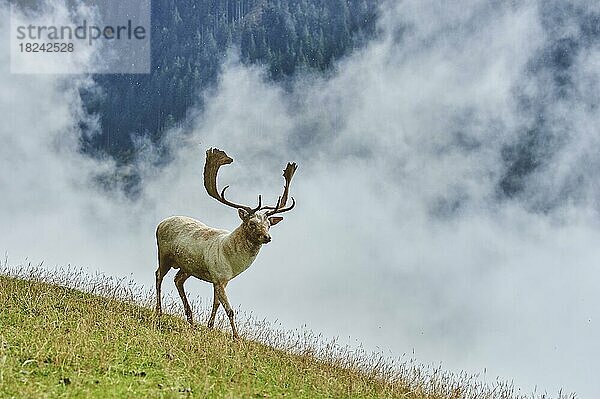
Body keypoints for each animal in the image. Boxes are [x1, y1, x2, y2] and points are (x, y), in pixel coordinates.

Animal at [154, 148, 296, 340]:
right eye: (252, 223)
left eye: (268, 224)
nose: (267, 237)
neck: (232, 262)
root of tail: (160, 223)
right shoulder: (219, 277)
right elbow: (229, 310)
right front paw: (236, 337)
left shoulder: (222, 280)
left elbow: (216, 304)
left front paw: (209, 327)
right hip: (164, 254)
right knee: (158, 275)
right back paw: (159, 311)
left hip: (187, 266)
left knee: (177, 280)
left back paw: (191, 319)